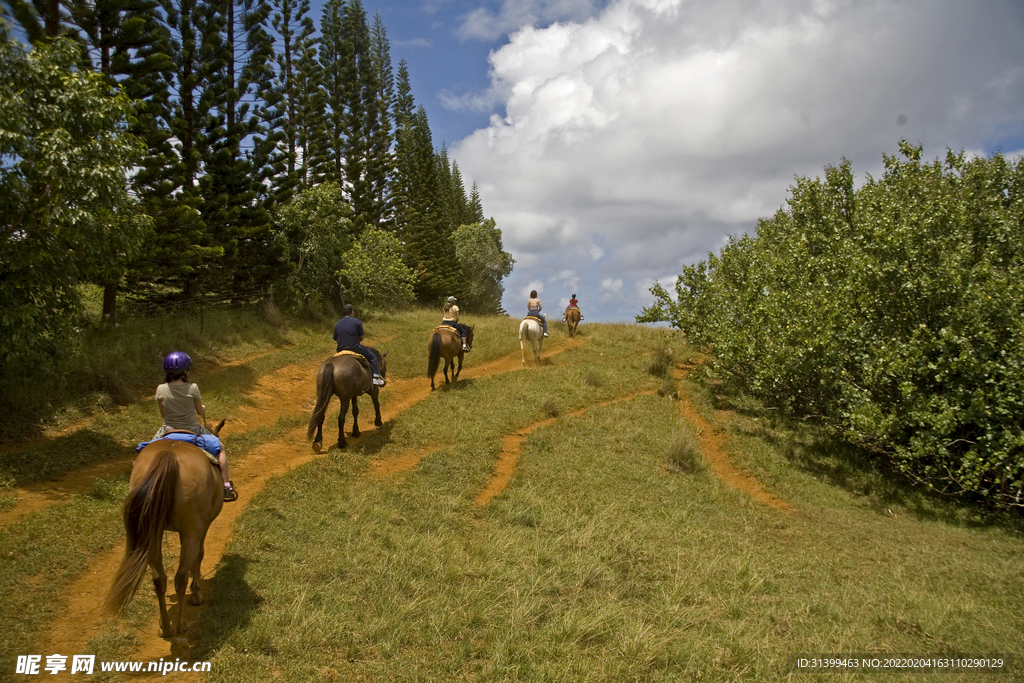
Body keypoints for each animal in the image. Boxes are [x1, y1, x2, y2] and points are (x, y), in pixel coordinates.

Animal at [107, 421, 225, 643]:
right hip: (189, 532)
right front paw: (196, 593)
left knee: (159, 579)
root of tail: (168, 455)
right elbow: (199, 556)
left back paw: (166, 626)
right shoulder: (201, 527)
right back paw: (181, 624)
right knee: (180, 577)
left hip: (152, 533)